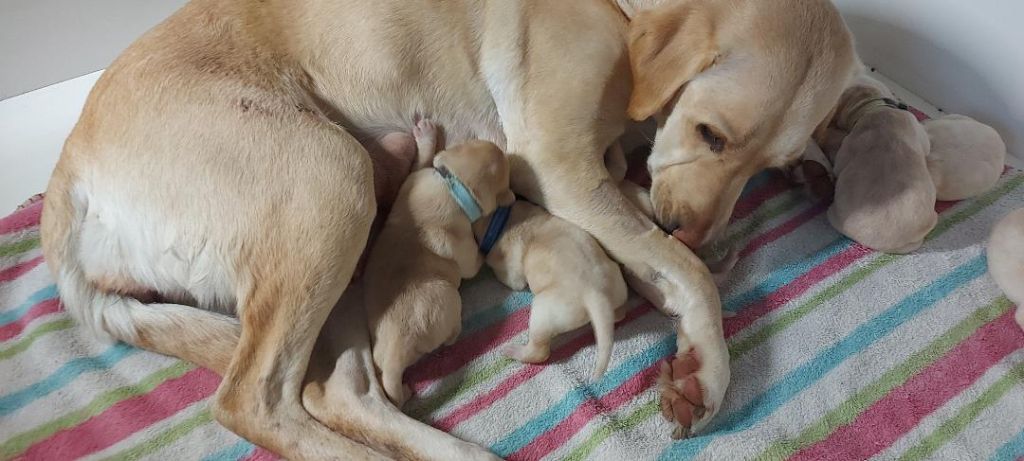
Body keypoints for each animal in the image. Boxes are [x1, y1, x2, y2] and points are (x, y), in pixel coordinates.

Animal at [364, 120, 516, 405]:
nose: (506, 152)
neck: (455, 187)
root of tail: (395, 356)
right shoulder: (464, 248)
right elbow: (472, 264)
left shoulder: (416, 178)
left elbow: (420, 162)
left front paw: (425, 135)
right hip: (448, 297)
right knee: (449, 334)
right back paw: (457, 330)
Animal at [468, 200, 622, 379]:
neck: (502, 220)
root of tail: (596, 295)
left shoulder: (511, 272)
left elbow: (509, 278)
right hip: (615, 284)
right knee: (618, 315)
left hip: (542, 313)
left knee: (539, 352)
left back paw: (512, 350)